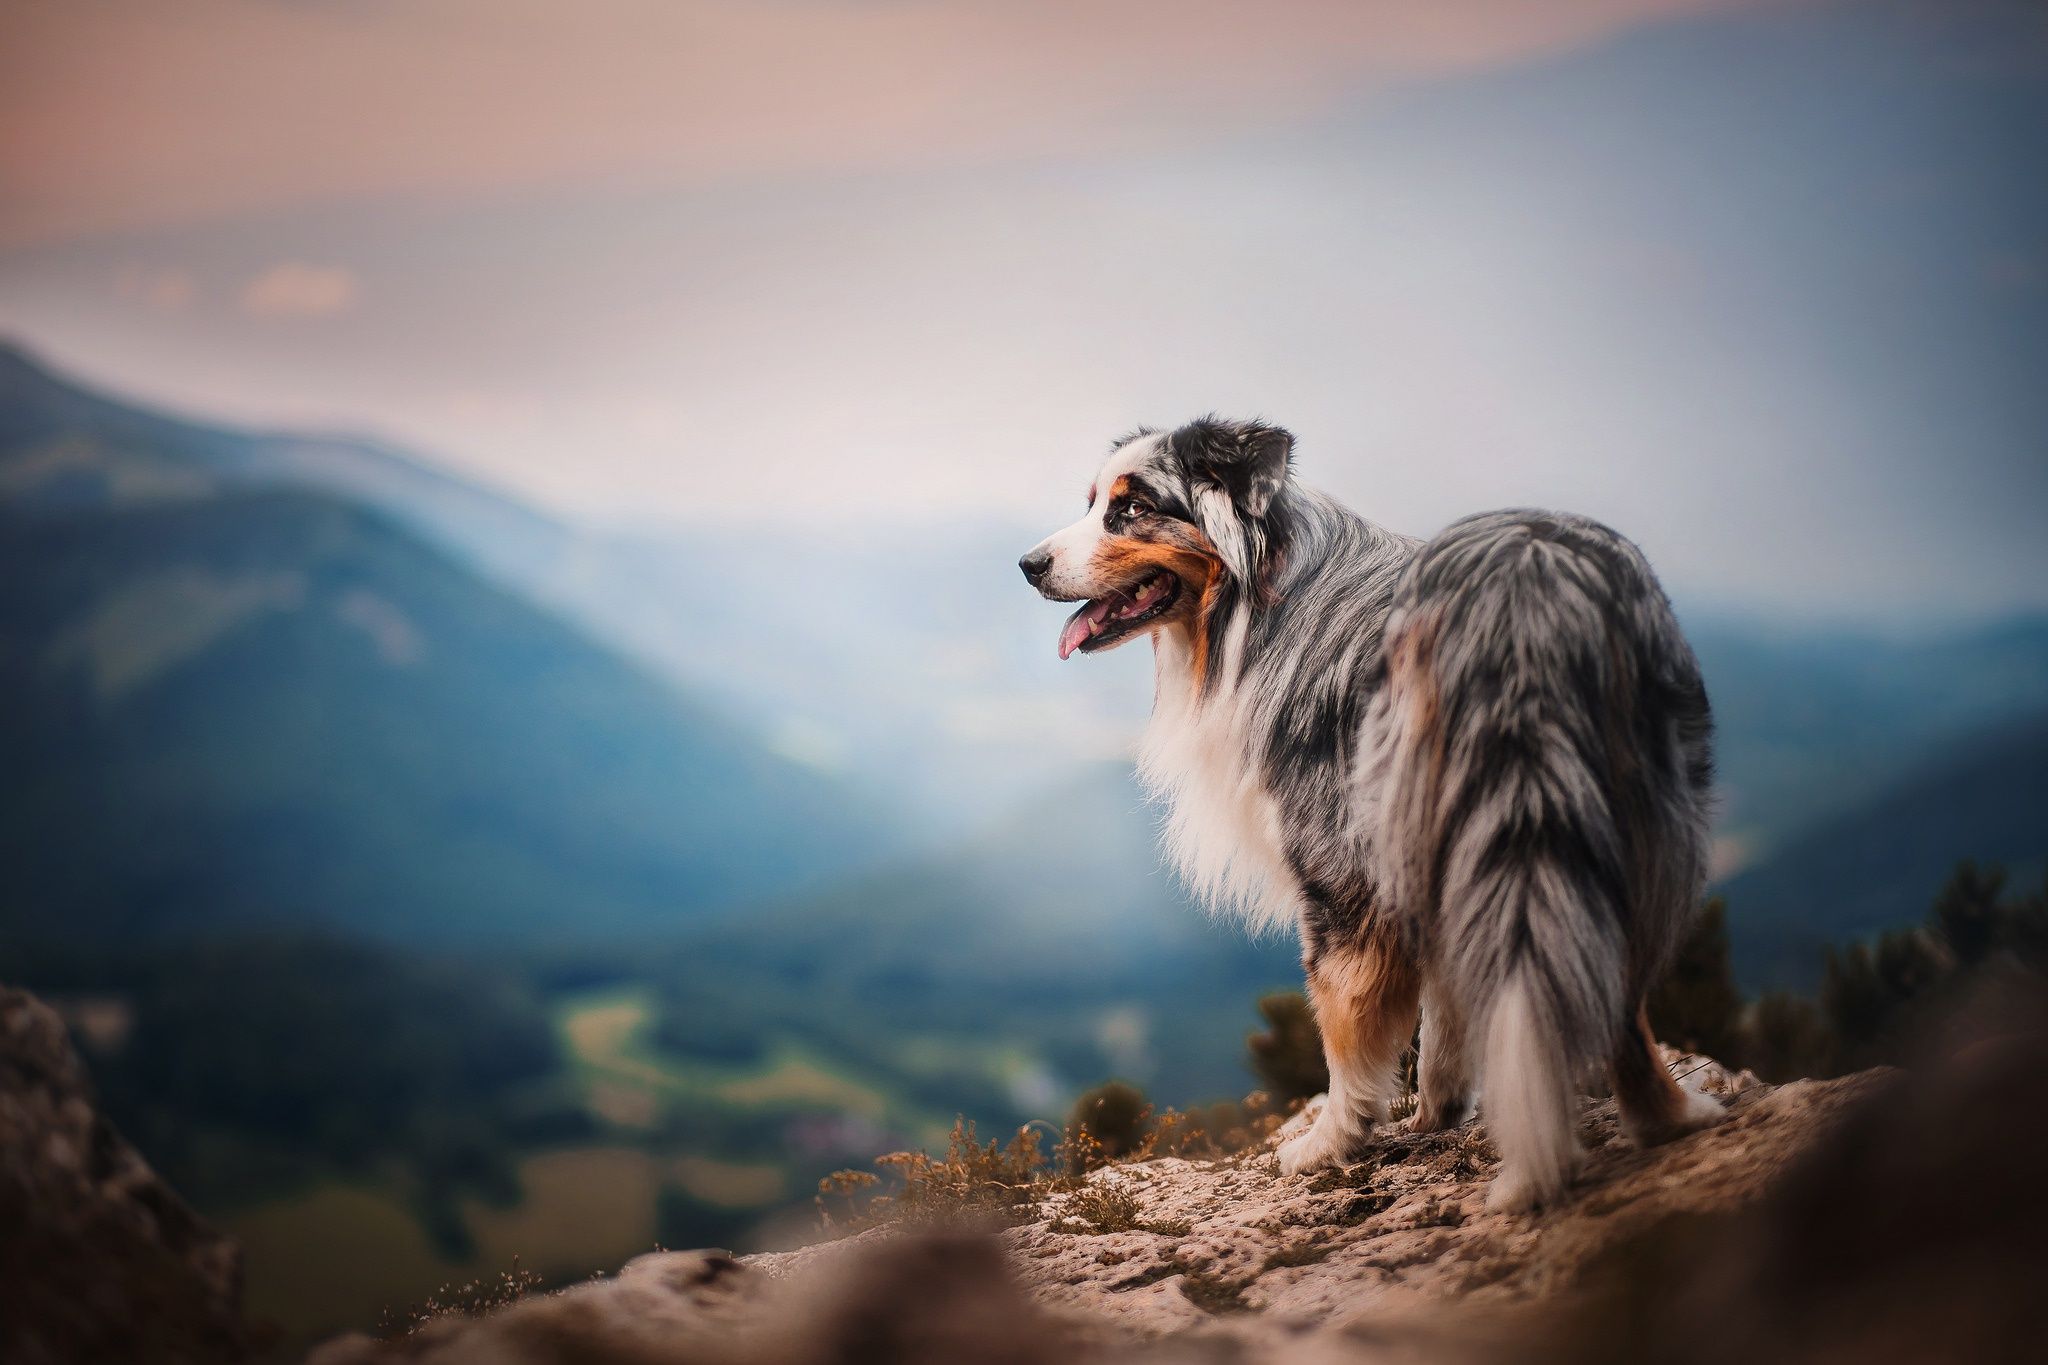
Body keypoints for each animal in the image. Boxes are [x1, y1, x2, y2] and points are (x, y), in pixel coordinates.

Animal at [1015, 419, 1720, 1219]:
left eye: (1130, 510)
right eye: (1095, 501)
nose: (1027, 565)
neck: (1266, 596)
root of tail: (1531, 585)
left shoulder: (1342, 865)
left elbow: (1346, 1021)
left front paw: (1332, 1143)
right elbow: (1445, 1012)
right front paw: (1436, 1116)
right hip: (1640, 814)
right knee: (1620, 986)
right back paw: (1666, 1119)